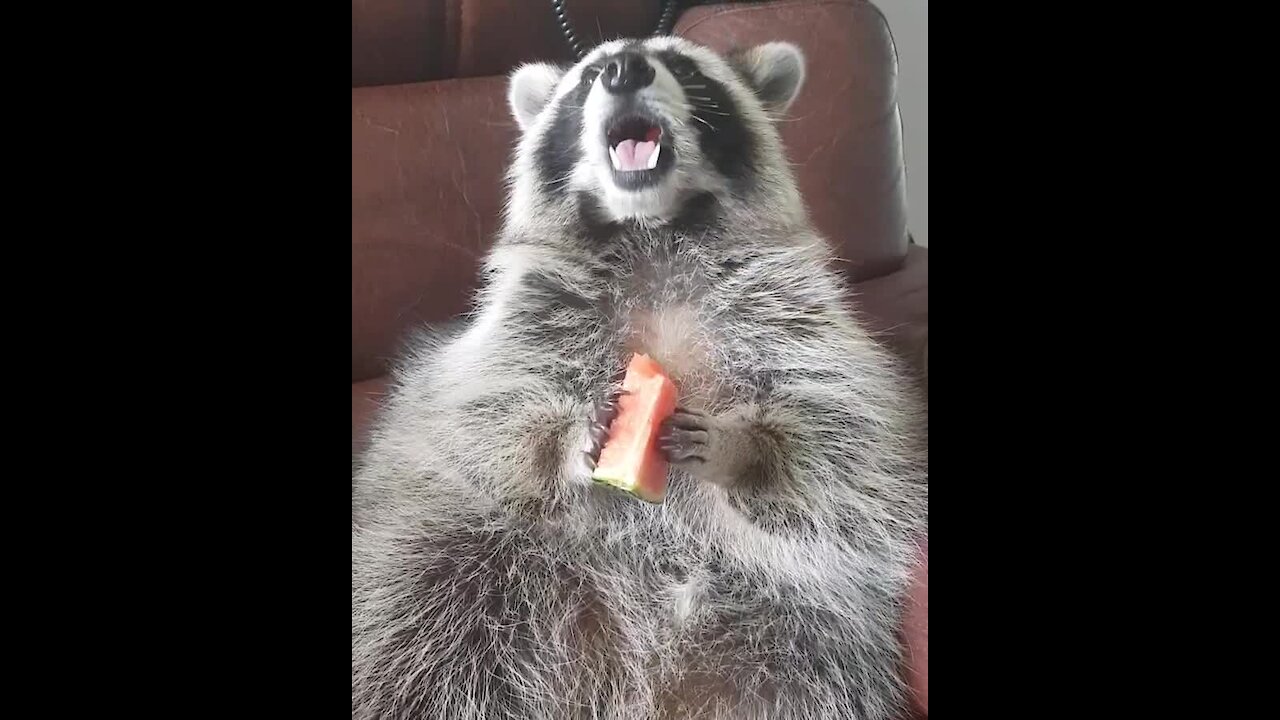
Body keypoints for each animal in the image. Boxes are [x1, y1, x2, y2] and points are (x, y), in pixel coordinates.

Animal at [353, 35, 931, 717]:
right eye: (586, 78)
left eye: (683, 67)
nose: (624, 69)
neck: (653, 232)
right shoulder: (513, 331)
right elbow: (488, 413)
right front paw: (566, 446)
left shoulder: (798, 323)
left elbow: (842, 435)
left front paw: (745, 451)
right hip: (448, 569)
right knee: (416, 618)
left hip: (797, 643)